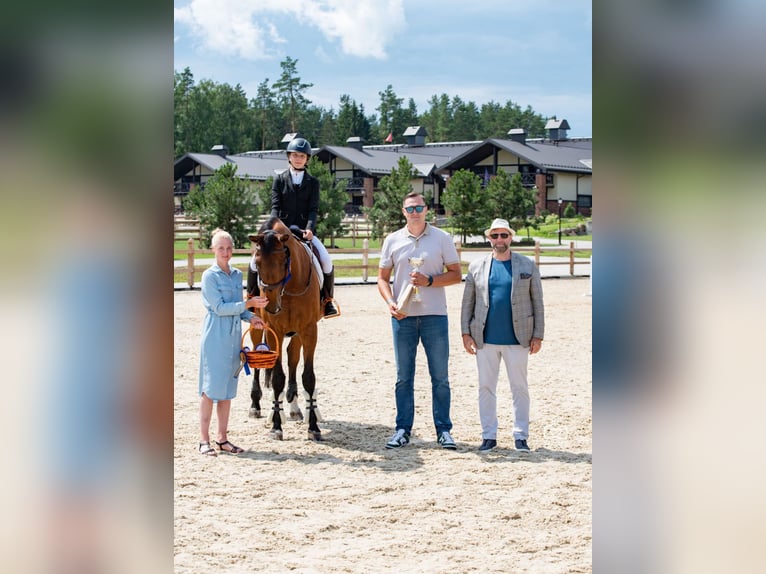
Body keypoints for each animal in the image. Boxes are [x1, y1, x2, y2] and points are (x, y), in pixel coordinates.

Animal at [246, 218, 324, 444]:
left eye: (283, 262)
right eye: (257, 263)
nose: (271, 305)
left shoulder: (308, 330)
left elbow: (308, 376)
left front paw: (313, 427)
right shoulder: (274, 331)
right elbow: (277, 378)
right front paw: (276, 427)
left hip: (297, 334)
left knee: (292, 357)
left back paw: (294, 406)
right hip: (256, 327)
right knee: (257, 355)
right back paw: (256, 406)